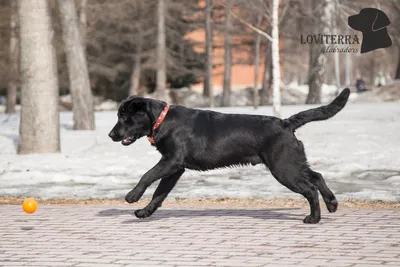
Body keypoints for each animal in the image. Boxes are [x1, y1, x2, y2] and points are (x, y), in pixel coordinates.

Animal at [109, 88, 350, 224]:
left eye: (125, 117)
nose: (111, 134)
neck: (163, 120)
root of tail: (286, 123)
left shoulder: (171, 162)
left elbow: (147, 175)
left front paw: (132, 196)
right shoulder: (175, 169)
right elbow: (159, 194)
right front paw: (145, 212)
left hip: (284, 168)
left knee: (310, 188)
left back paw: (314, 218)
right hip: (292, 162)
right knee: (317, 176)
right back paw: (332, 204)